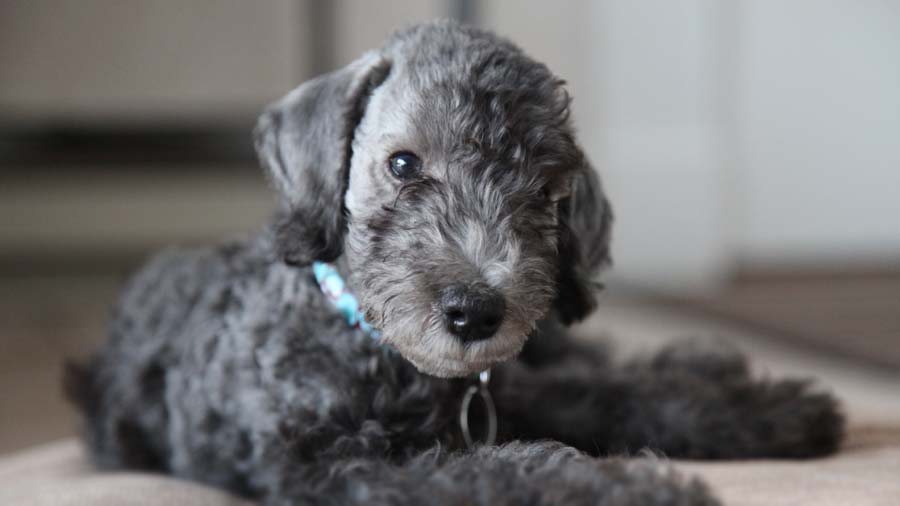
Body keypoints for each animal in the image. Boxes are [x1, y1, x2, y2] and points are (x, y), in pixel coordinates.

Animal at [68, 20, 844, 506]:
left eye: (545, 192)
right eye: (403, 165)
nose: (476, 312)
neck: (367, 340)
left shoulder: (518, 388)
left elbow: (612, 393)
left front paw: (770, 410)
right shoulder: (336, 464)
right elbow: (493, 477)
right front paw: (629, 490)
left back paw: (716, 364)